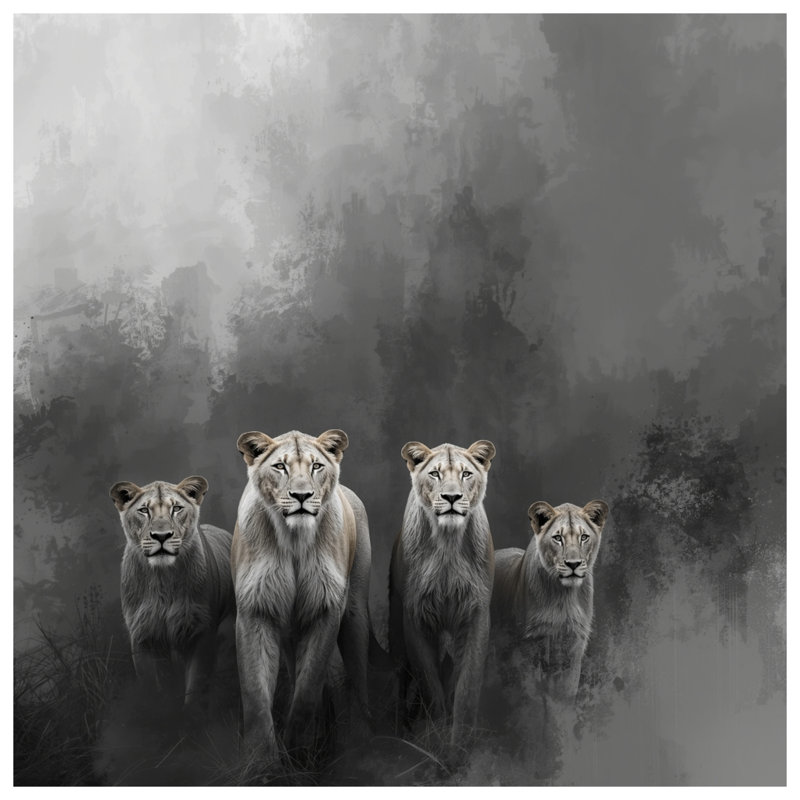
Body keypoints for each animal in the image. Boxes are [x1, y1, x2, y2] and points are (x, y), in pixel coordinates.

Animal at [109, 476, 235, 713]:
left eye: (176, 508)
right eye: (143, 510)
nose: (161, 536)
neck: (163, 579)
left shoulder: (201, 632)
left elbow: (196, 687)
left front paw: (193, 717)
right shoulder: (143, 636)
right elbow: (153, 686)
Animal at [231, 428, 373, 764]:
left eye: (316, 466)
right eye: (280, 467)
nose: (301, 496)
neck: (294, 539)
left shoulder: (327, 610)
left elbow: (307, 691)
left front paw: (298, 749)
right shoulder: (255, 610)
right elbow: (255, 693)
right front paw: (262, 761)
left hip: (355, 612)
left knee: (358, 678)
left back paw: (361, 742)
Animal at [389, 439, 496, 748]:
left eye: (466, 474)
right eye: (435, 474)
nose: (451, 497)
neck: (448, 542)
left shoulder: (476, 615)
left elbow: (467, 686)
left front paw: (460, 741)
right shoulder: (414, 616)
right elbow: (429, 682)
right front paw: (435, 738)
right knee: (400, 675)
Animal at [491, 500, 609, 703]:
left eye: (584, 537)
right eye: (558, 538)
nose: (573, 564)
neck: (563, 596)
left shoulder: (573, 647)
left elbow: (563, 700)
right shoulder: (528, 647)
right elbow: (532, 698)